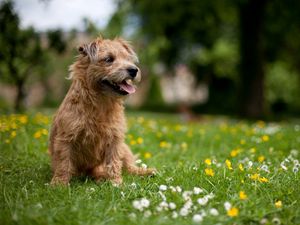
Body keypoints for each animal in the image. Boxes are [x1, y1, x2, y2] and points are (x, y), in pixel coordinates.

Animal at [48, 36, 156, 185]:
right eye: (109, 59)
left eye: (128, 59)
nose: (134, 70)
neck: (101, 103)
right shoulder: (66, 138)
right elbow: (64, 162)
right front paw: (59, 183)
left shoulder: (115, 139)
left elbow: (114, 162)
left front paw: (116, 182)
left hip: (124, 148)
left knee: (129, 167)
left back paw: (145, 172)